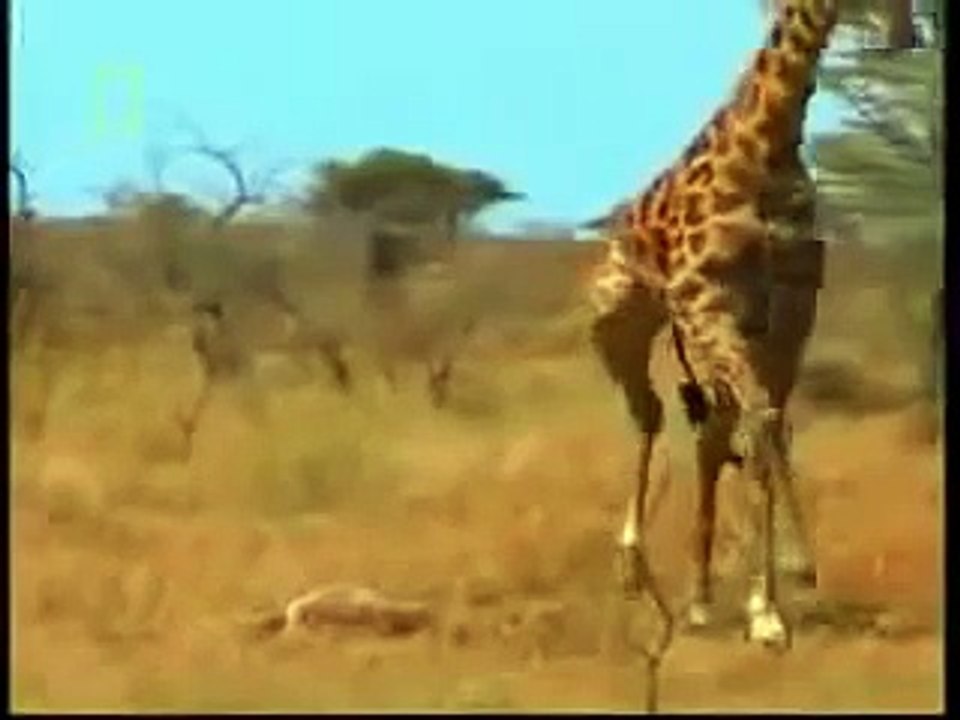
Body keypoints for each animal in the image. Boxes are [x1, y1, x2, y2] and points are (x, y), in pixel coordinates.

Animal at [589, 0, 837, 649]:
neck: (766, 148)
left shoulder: (791, 312)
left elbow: (768, 427)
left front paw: (775, 595)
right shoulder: (711, 305)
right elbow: (760, 428)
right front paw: (775, 598)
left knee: (710, 433)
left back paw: (699, 598)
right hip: (620, 320)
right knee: (651, 414)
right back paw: (636, 565)